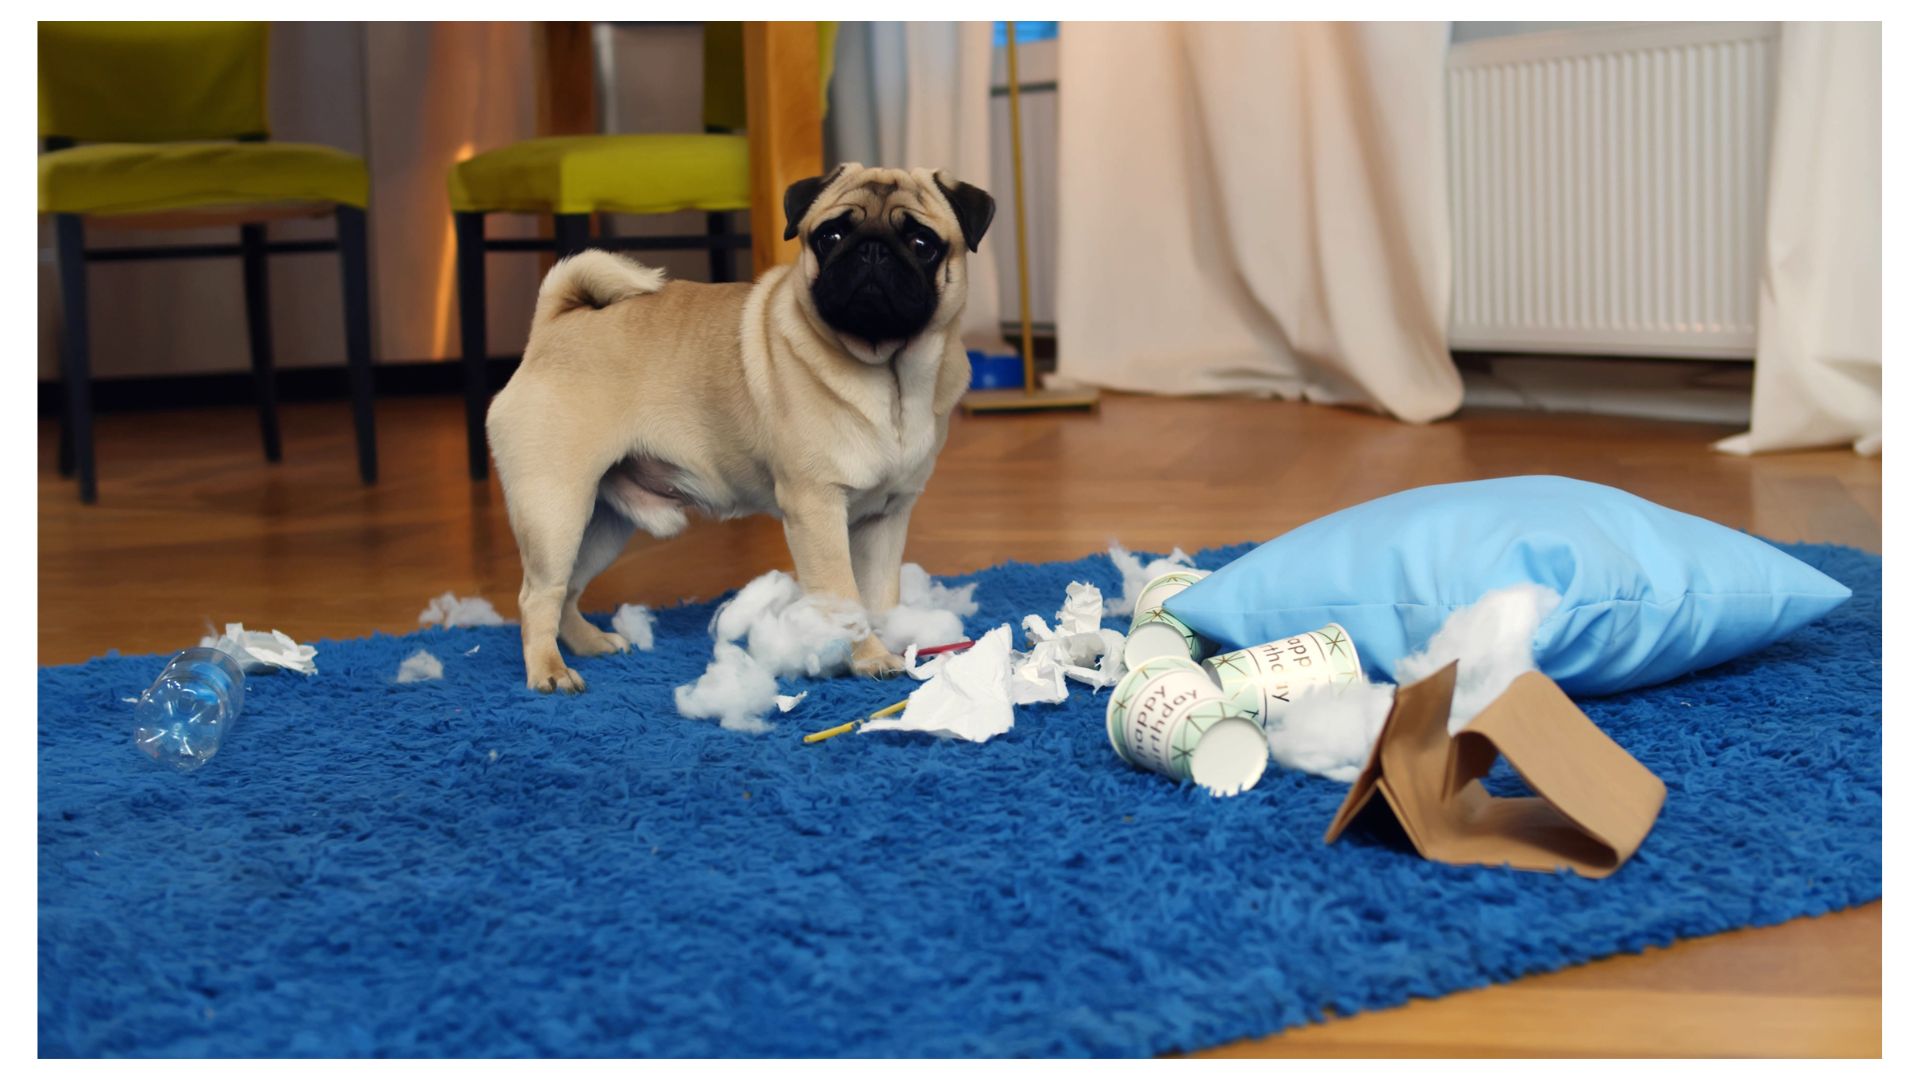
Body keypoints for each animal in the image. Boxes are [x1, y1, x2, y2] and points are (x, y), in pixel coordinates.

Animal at [483, 165, 990, 691]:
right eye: (829, 237)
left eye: (922, 242)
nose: (872, 249)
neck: (892, 378)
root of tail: (553, 327)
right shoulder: (817, 507)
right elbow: (845, 598)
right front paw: (868, 658)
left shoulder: (887, 516)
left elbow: (879, 594)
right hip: (555, 510)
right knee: (537, 595)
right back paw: (549, 671)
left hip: (601, 522)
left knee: (568, 590)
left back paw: (590, 644)